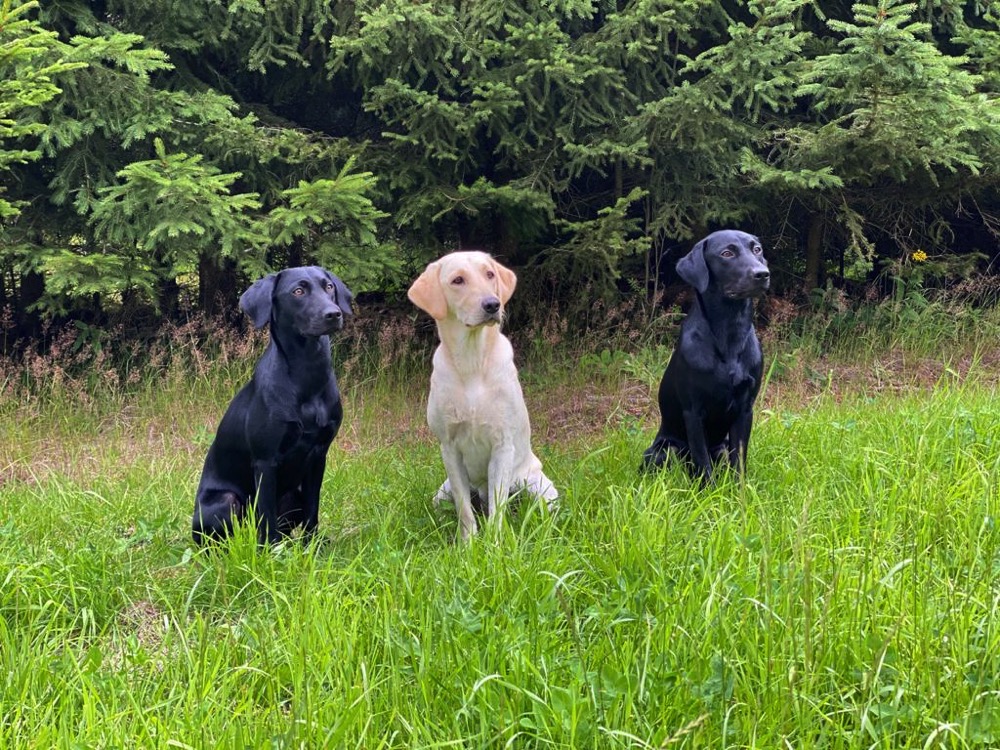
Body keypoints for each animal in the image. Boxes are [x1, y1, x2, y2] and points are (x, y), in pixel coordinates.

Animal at [192, 265, 352, 545]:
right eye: (298, 291)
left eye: (329, 286)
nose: (334, 314)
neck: (307, 373)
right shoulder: (266, 461)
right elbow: (266, 514)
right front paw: (270, 550)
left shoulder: (319, 455)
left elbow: (313, 509)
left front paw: (312, 545)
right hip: (225, 502)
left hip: (294, 495)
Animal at [408, 251, 557, 541]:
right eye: (457, 280)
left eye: (489, 274)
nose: (492, 304)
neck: (472, 362)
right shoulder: (449, 449)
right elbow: (465, 510)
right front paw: (468, 544)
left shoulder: (502, 446)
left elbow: (497, 509)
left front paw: (495, 544)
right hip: (441, 493)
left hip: (541, 488)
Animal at [642, 230, 770, 481]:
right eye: (727, 253)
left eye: (757, 249)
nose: (762, 274)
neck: (730, 333)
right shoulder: (693, 411)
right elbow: (701, 461)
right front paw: (708, 489)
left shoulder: (745, 409)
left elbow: (739, 459)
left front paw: (739, 489)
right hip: (663, 451)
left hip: (721, 447)